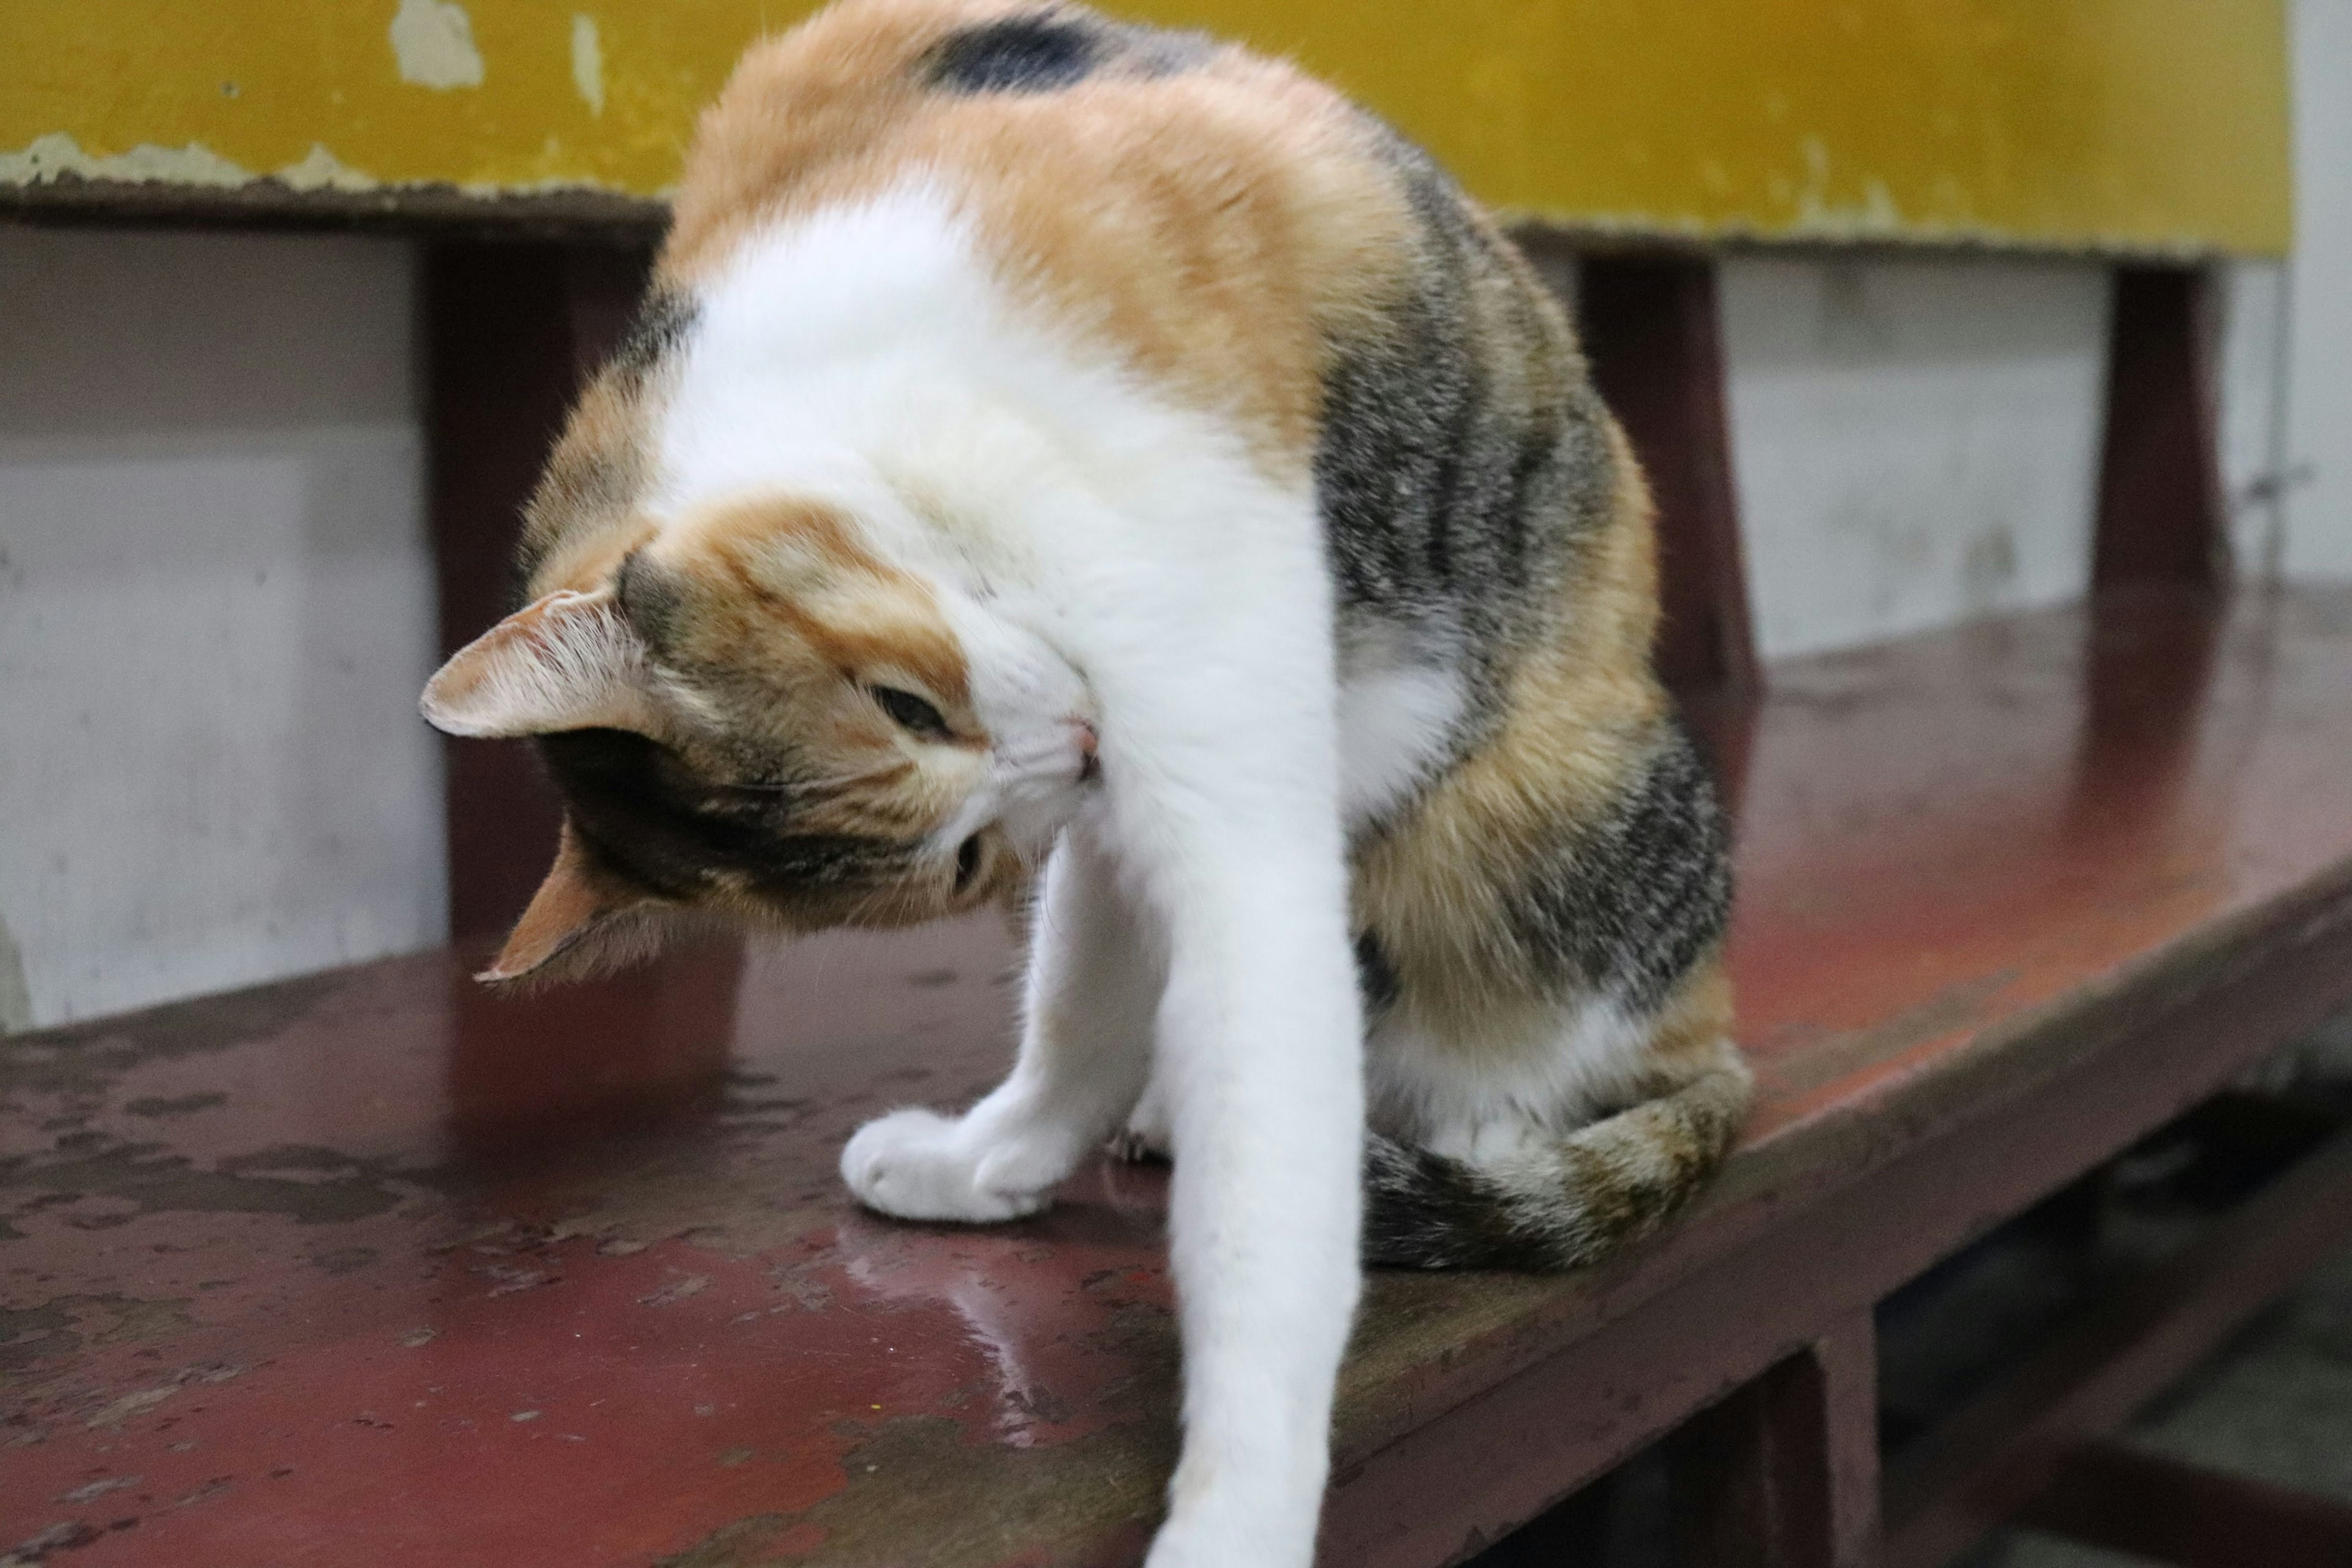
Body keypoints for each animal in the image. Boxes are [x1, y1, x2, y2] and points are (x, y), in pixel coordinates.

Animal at [418, 6, 1749, 1561]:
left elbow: (1262, 1189)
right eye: (958, 861)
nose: (1070, 748)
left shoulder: (1226, 802)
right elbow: (1075, 1016)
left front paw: (1236, 1513)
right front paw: (985, 1162)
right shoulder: (1114, 815)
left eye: (907, 699)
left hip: (1522, 817)